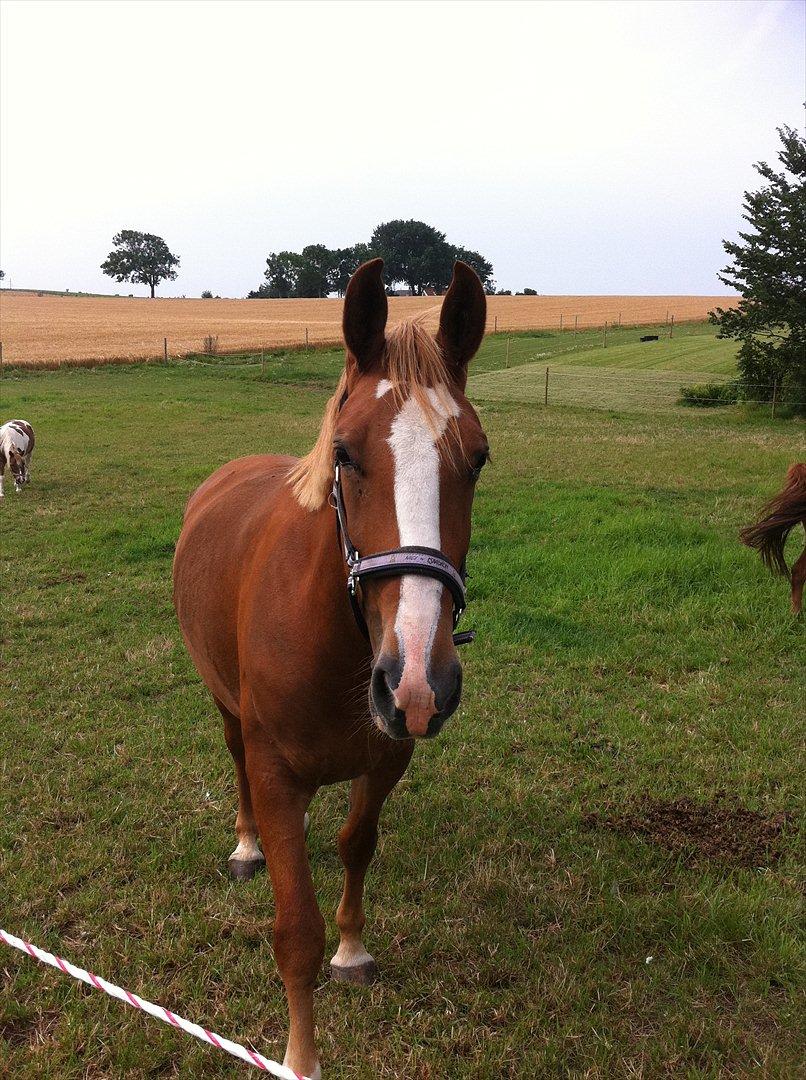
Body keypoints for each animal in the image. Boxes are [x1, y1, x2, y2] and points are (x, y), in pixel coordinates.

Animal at [173, 257, 490, 1075]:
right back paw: (247, 846)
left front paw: (353, 950)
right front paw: (300, 1057)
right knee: (236, 767)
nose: (419, 680)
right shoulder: (278, 774)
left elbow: (355, 847)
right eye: (344, 453)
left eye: (478, 459)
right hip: (227, 712)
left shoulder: (387, 757)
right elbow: (295, 935)